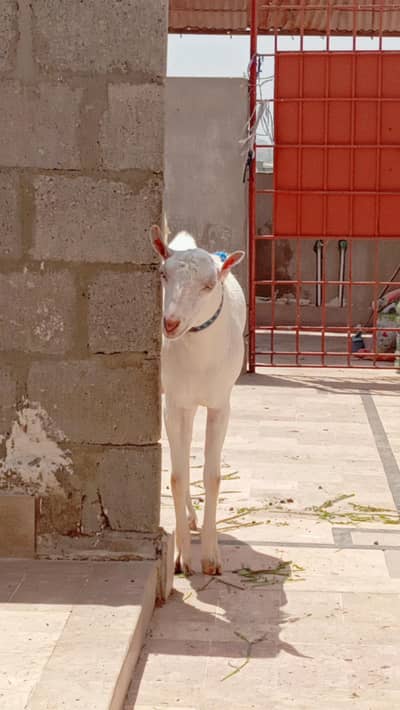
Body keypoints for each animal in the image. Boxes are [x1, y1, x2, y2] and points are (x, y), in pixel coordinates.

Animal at [150, 224, 246, 576]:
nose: (171, 323)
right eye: (163, 274)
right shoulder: (174, 403)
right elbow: (177, 476)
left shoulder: (221, 404)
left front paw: (211, 557)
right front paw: (183, 558)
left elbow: (213, 477)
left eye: (208, 286)